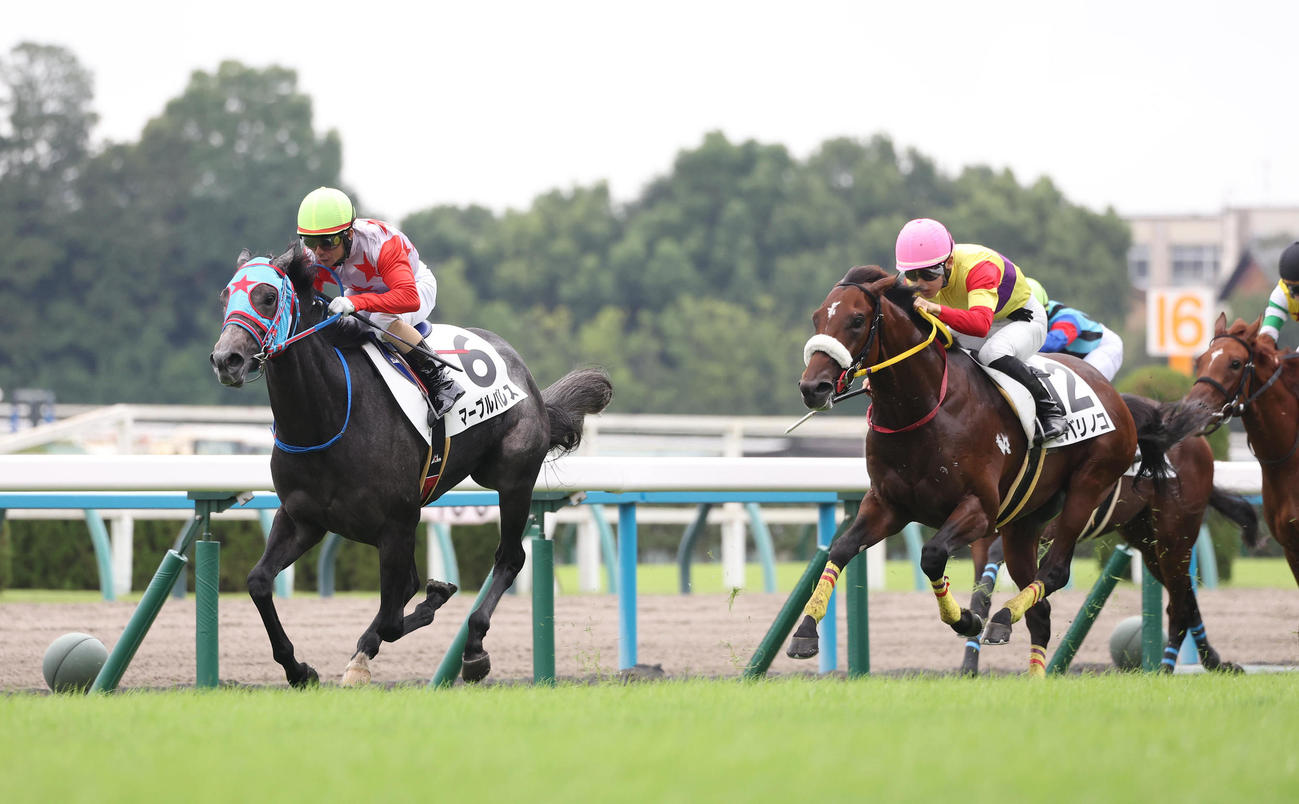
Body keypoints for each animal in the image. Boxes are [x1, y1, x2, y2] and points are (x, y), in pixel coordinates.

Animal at [210, 243, 613, 687]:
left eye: (267, 296)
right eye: (226, 296)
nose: (226, 359)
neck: (328, 416)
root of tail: (526, 375)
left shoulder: (397, 523)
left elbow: (390, 621)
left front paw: (403, 627)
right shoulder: (303, 519)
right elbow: (259, 582)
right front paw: (299, 670)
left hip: (512, 478)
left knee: (509, 559)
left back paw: (474, 648)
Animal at [790, 265, 1211, 674]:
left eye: (857, 319)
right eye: (816, 318)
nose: (813, 387)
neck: (923, 408)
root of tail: (1117, 398)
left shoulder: (979, 510)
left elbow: (932, 554)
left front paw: (965, 620)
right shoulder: (887, 506)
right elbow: (841, 549)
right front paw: (805, 631)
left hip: (1107, 497)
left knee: (1058, 573)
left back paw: (1003, 618)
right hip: (1027, 524)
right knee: (1042, 611)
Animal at [958, 425, 1260, 675]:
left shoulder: (1038, 530)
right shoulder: (982, 541)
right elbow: (980, 597)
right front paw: (969, 663)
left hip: (1175, 533)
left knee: (1180, 599)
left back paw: (1171, 666)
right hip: (1147, 542)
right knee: (1185, 596)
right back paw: (1214, 661)